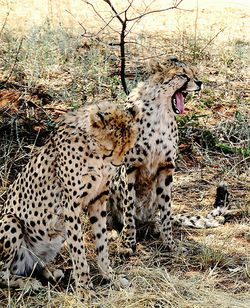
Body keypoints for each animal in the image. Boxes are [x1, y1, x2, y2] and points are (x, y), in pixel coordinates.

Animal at [0, 101, 141, 292]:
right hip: (10, 219)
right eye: (110, 149)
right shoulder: (71, 205)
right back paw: (27, 282)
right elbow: (78, 248)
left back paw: (50, 271)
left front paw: (109, 276)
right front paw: (84, 287)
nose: (118, 165)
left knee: (32, 264)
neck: (95, 152)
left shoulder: (98, 199)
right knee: (3, 273)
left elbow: (102, 242)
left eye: (127, 148)